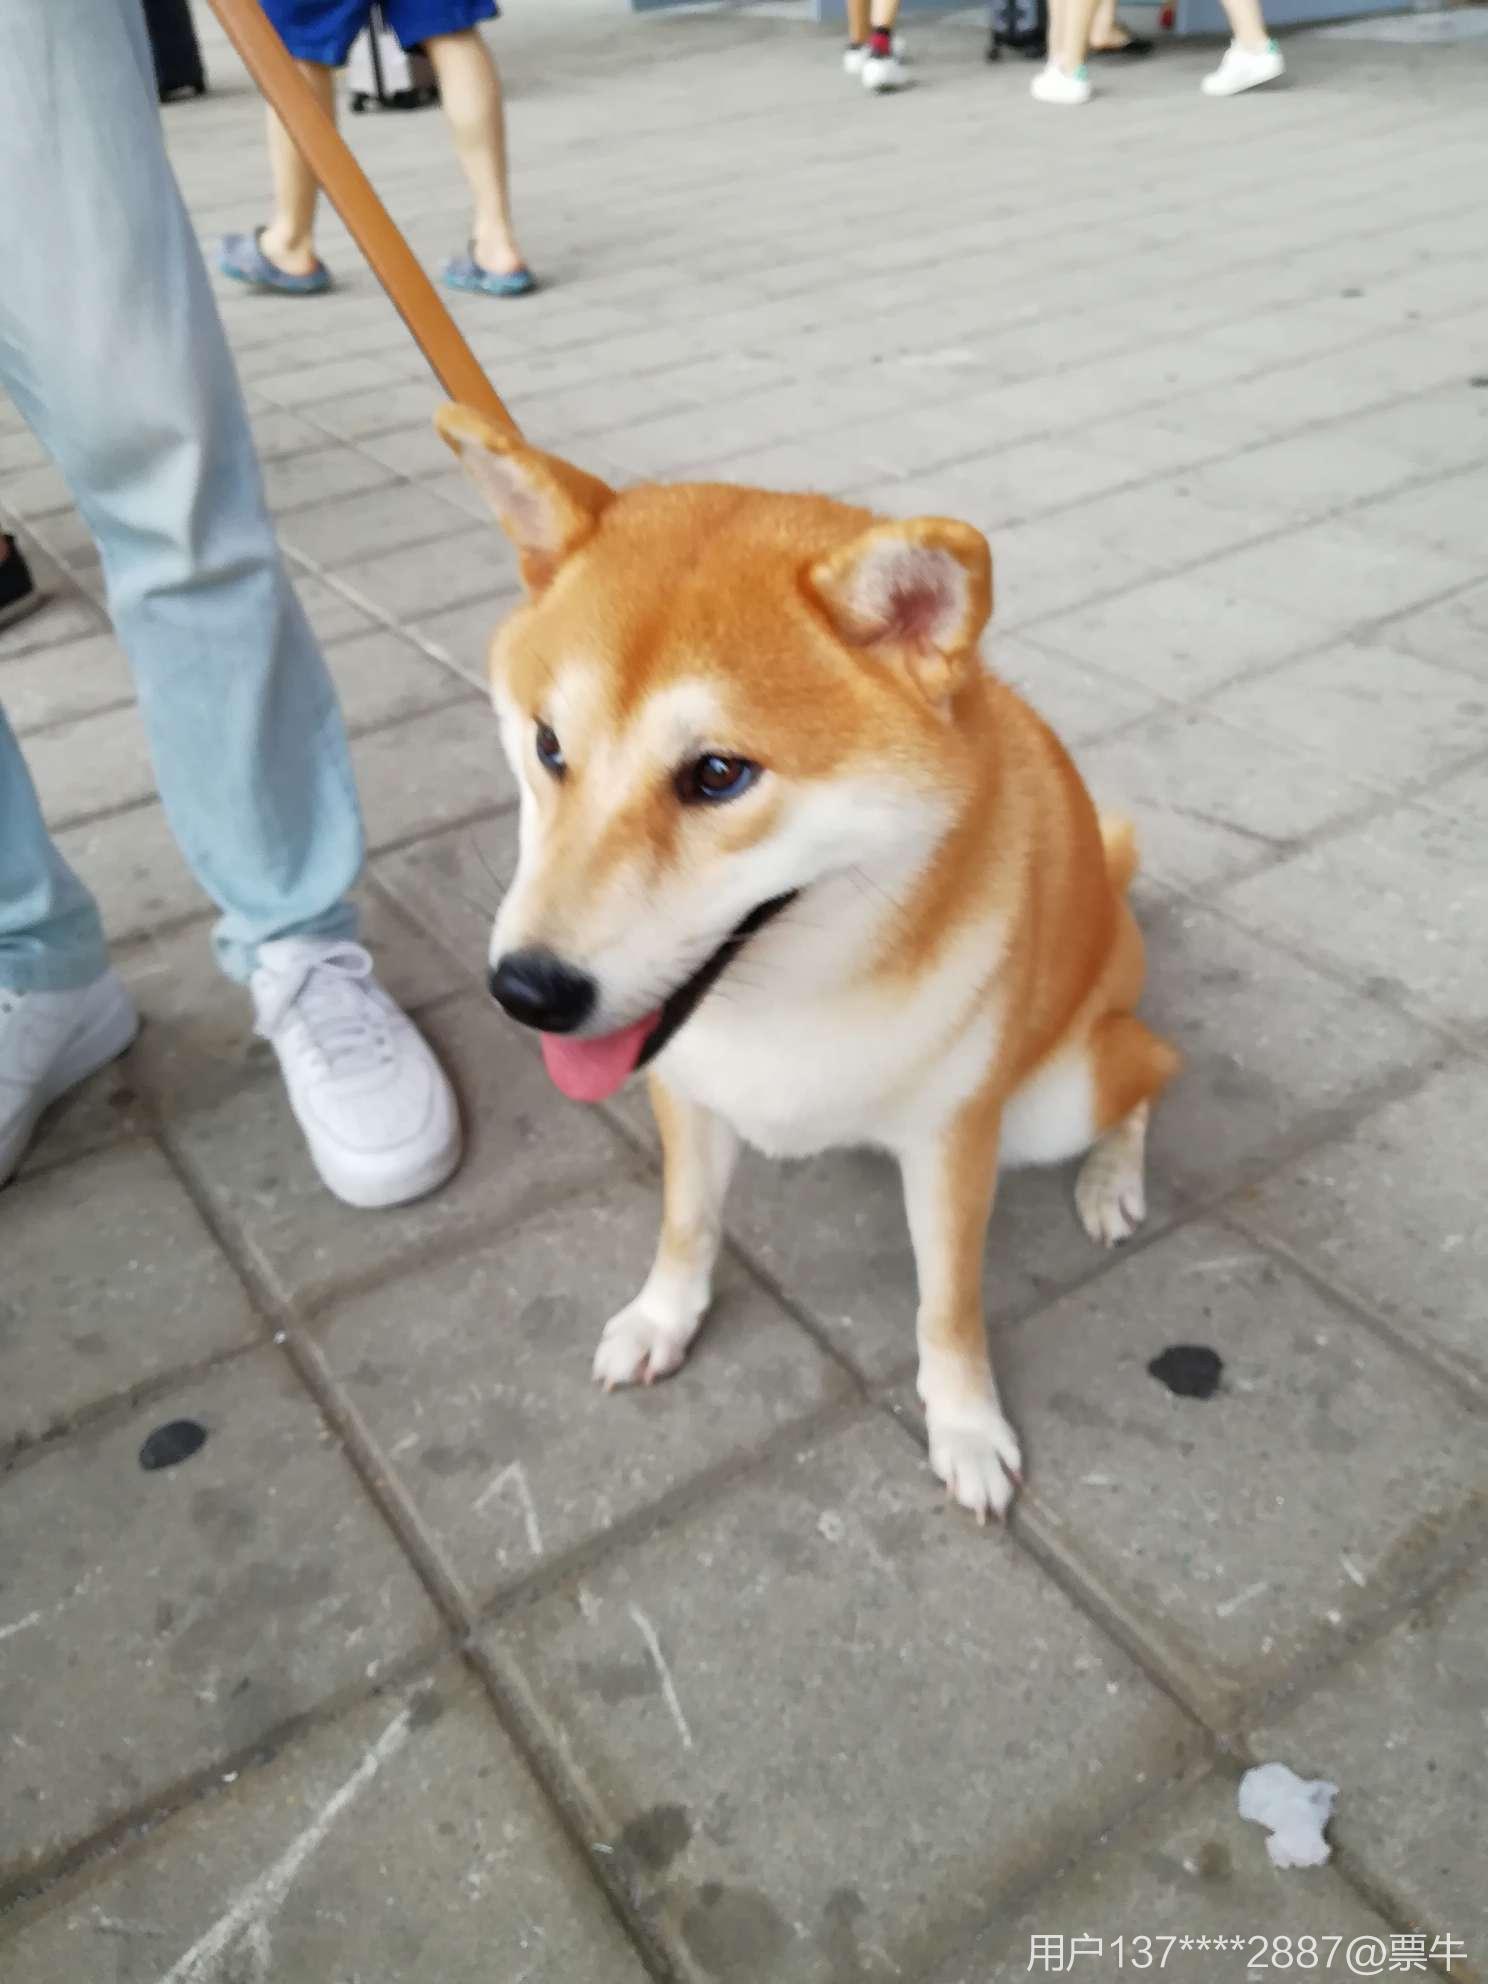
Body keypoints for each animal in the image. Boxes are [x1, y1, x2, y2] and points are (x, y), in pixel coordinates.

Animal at [438, 404, 1180, 1523]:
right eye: (549, 745)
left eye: (717, 774)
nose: (528, 991)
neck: (795, 995)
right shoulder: (688, 1088)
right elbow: (687, 1224)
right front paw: (662, 1317)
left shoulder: (955, 1137)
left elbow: (947, 1304)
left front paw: (967, 1424)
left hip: (1060, 1092)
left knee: (1154, 1069)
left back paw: (1109, 1180)